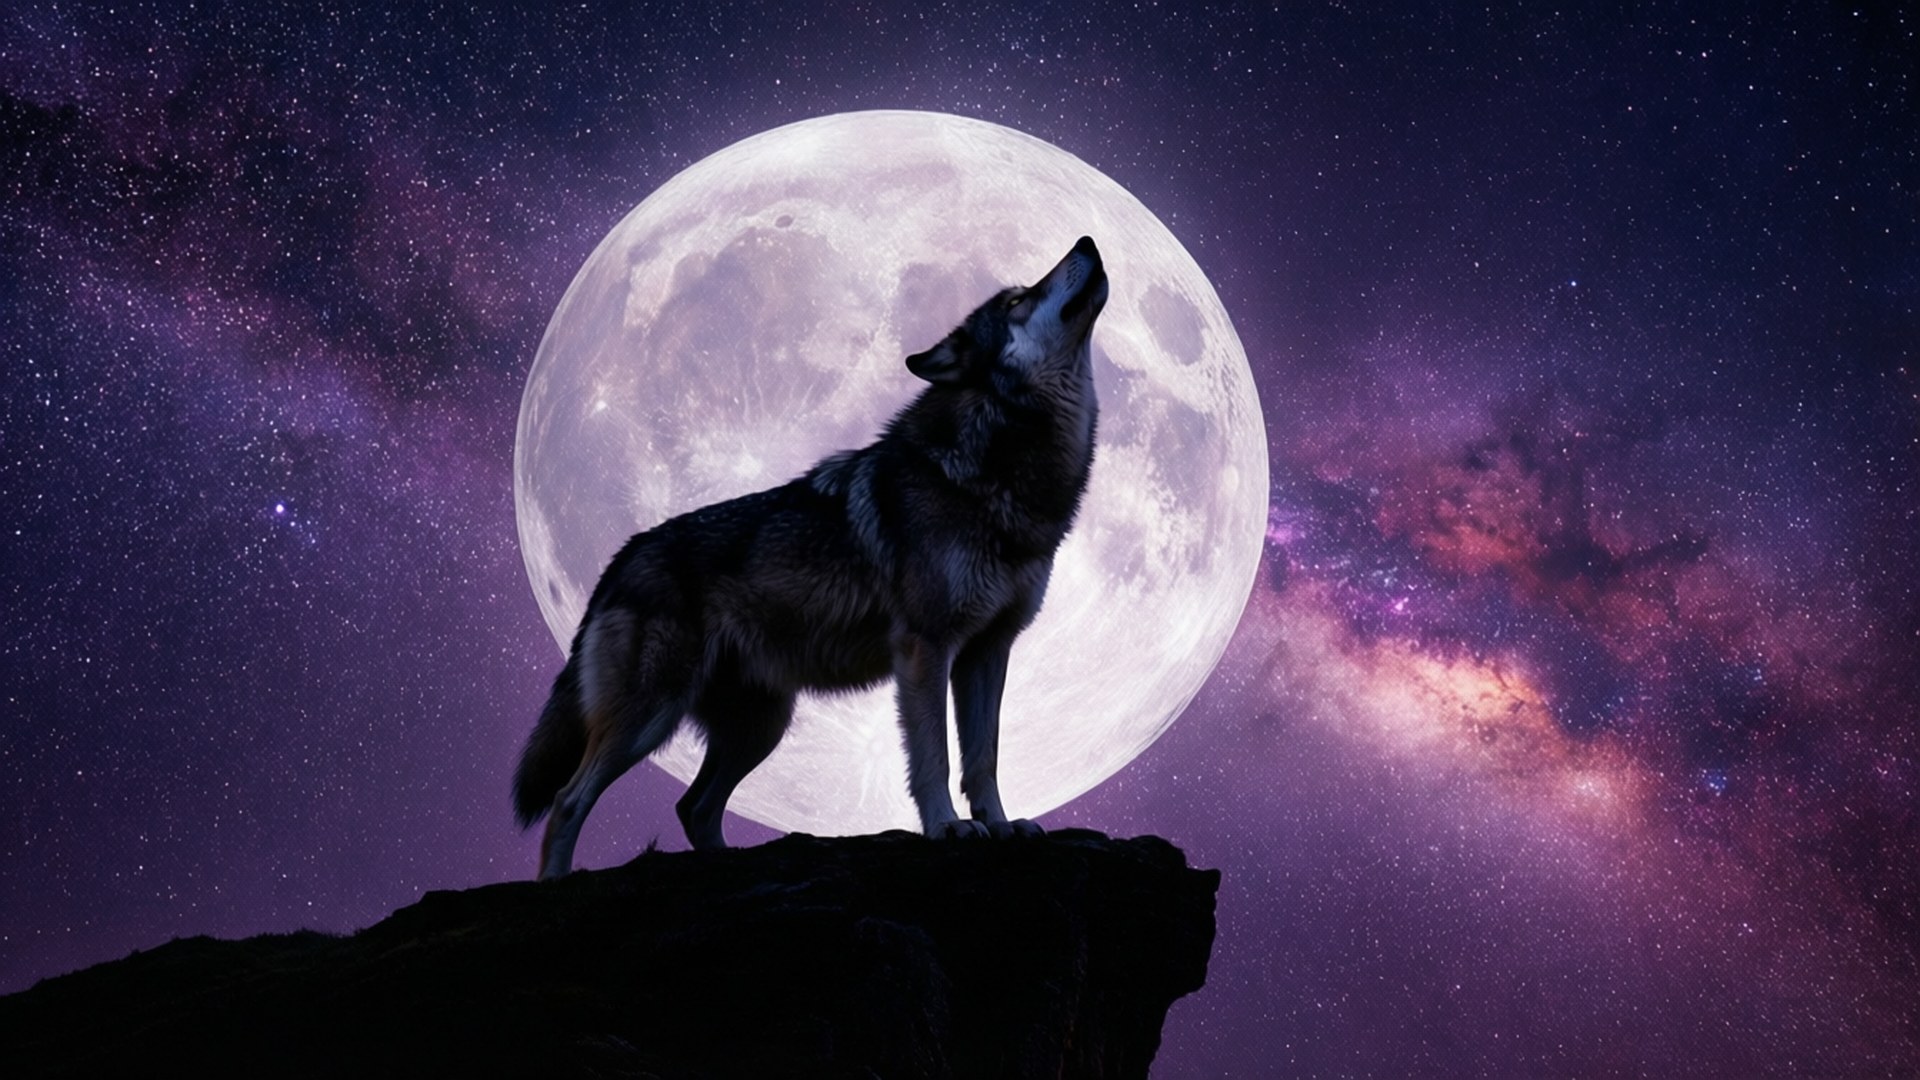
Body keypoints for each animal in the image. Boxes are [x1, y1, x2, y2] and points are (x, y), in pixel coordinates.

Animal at [513, 236, 1107, 879]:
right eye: (1019, 299)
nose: (1086, 241)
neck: (998, 466)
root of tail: (620, 558)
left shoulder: (987, 652)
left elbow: (984, 757)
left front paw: (1001, 826)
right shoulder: (925, 649)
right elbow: (935, 757)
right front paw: (947, 827)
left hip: (760, 726)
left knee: (693, 806)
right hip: (651, 716)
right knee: (570, 801)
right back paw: (554, 883)